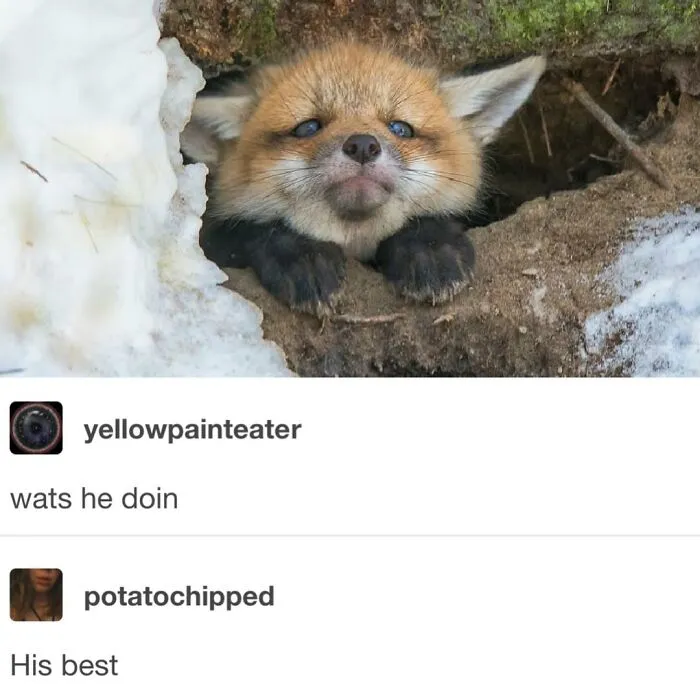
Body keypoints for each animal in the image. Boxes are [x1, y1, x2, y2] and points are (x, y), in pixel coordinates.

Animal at [181, 42, 546, 315]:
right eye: (308, 127)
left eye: (401, 128)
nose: (362, 145)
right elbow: (254, 232)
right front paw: (301, 256)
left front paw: (429, 248)